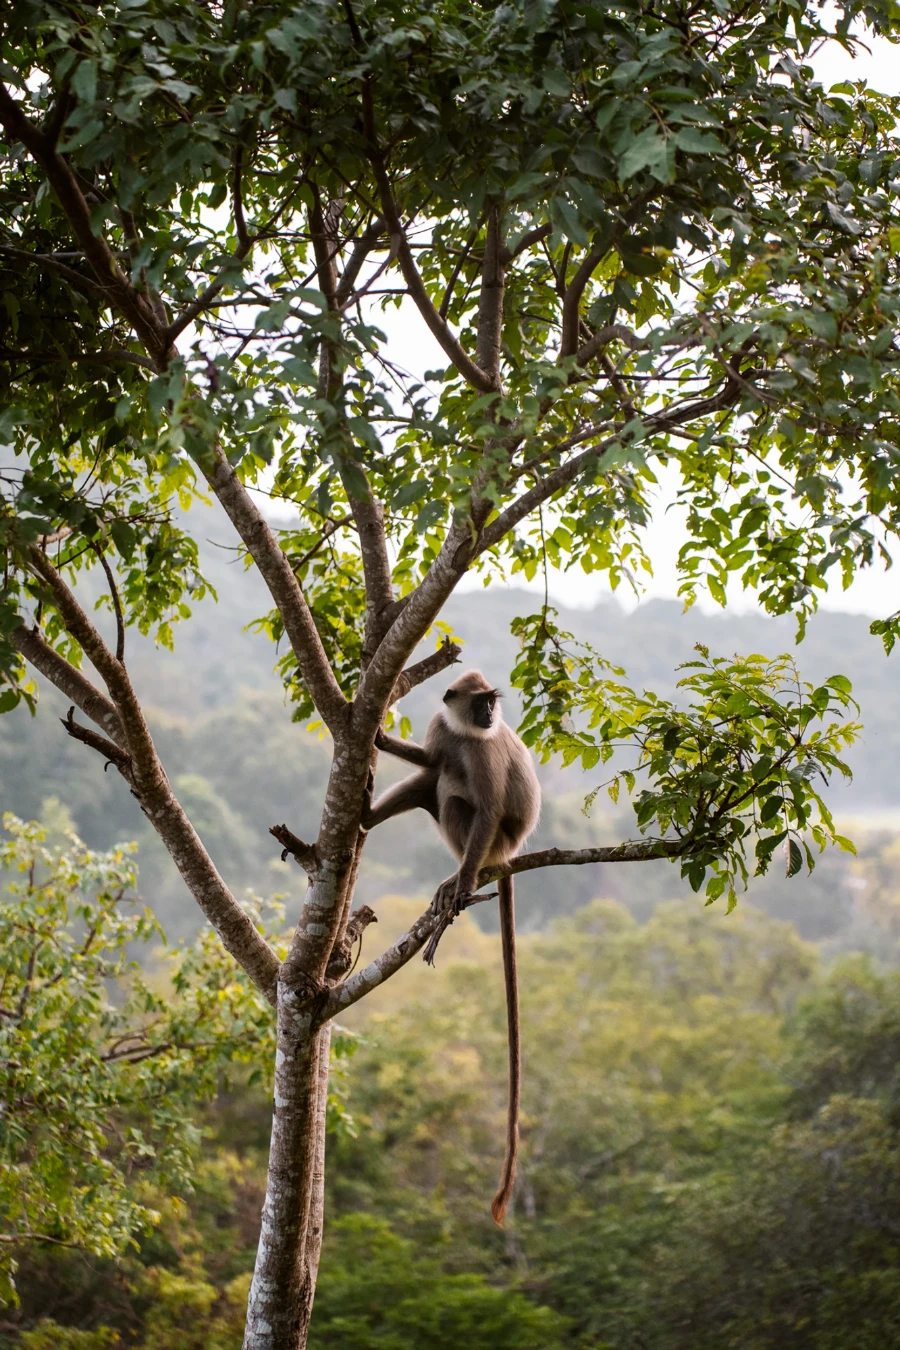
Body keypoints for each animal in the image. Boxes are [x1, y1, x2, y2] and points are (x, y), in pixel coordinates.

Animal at [361, 669, 541, 1223]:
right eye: (480, 702)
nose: (489, 716)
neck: (467, 733)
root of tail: (511, 855)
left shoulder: (482, 750)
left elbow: (486, 803)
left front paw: (459, 886)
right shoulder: (447, 729)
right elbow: (430, 757)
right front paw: (380, 738)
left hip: (492, 843)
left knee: (455, 796)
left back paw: (462, 878)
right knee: (433, 778)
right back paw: (366, 818)